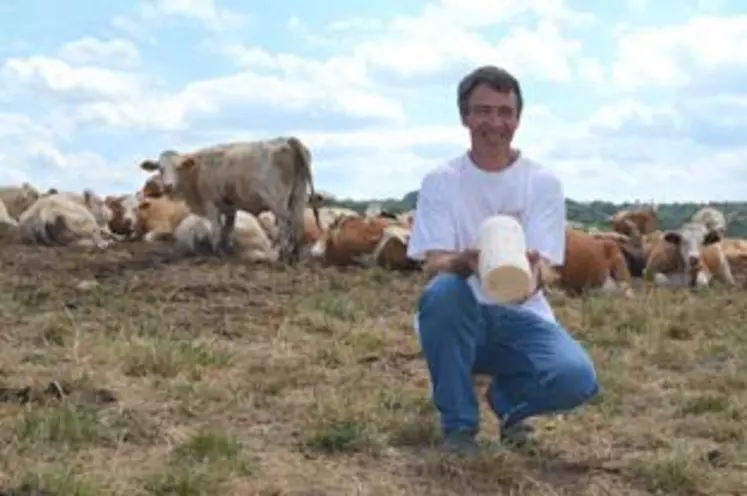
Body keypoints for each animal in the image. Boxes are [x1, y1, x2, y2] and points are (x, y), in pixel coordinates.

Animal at [140, 136, 322, 264]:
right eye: (161, 168)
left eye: (178, 167)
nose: (168, 186)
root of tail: (287, 139)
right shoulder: (229, 206)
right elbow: (227, 229)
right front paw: (227, 251)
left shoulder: (211, 203)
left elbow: (216, 229)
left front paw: (216, 253)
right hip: (299, 195)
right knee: (297, 224)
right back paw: (294, 256)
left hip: (277, 201)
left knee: (285, 225)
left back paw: (284, 256)